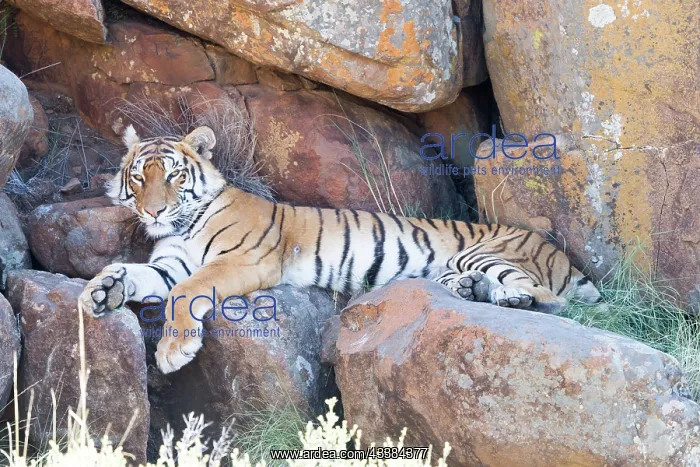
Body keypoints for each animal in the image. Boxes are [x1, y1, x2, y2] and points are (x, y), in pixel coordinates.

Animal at [77, 125, 601, 374]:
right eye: (138, 177)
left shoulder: (243, 258)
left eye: (172, 176)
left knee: (546, 298)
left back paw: (512, 297)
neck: (183, 224)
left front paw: (174, 350)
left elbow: (186, 291)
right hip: (453, 266)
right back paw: (474, 290)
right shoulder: (169, 263)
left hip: (490, 253)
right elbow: (137, 275)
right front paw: (100, 291)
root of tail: (561, 253)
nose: (154, 212)